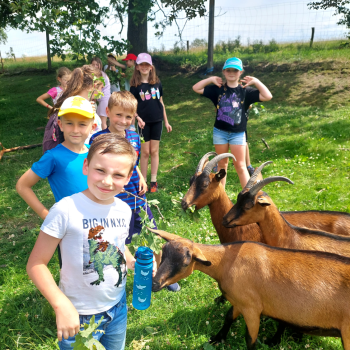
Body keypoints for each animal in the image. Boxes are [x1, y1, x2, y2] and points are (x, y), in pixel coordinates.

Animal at [150, 228, 350, 348]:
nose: (154, 284)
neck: (226, 262)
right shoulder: (239, 301)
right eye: (162, 254)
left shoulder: (252, 308)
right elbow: (228, 318)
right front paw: (217, 338)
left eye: (185, 263)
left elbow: (250, 339)